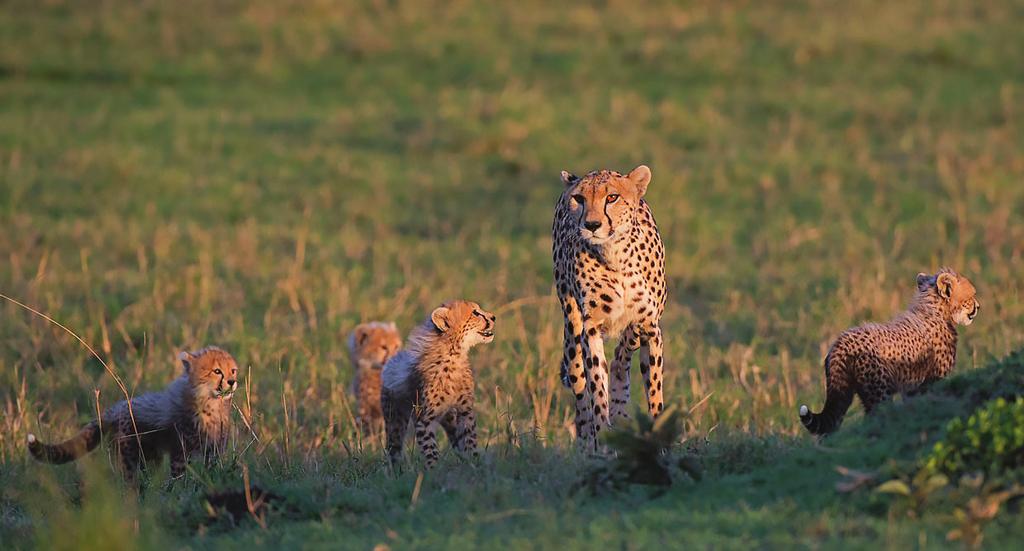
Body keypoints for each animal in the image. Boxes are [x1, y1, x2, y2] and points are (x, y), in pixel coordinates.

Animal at [557, 162, 667, 446]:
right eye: (579, 199)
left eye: (612, 197)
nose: (592, 224)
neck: (616, 254)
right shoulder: (591, 327)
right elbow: (596, 385)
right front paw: (602, 437)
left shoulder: (650, 326)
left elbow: (654, 390)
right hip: (571, 325)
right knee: (579, 384)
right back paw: (587, 436)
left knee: (622, 354)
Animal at [798, 266, 974, 432]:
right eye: (972, 296)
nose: (977, 306)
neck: (934, 311)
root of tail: (840, 341)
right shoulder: (933, 380)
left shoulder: (912, 387)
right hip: (879, 392)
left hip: (842, 393)